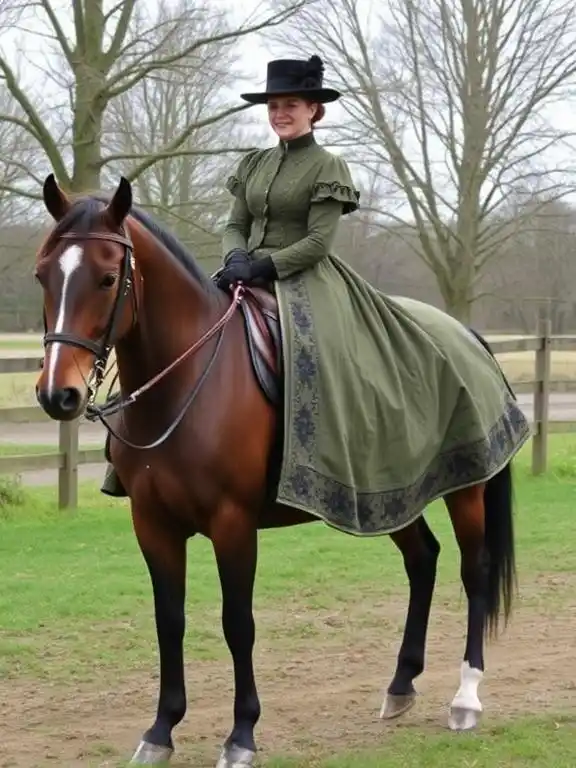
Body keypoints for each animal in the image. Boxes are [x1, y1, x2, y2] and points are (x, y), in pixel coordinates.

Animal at [35, 176, 520, 768]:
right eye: (42, 274)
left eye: (107, 278)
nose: (58, 394)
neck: (191, 381)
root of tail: (465, 333)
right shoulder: (153, 525)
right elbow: (169, 621)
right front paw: (160, 730)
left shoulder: (233, 524)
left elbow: (237, 624)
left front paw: (241, 734)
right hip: (390, 493)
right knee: (423, 559)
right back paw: (400, 685)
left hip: (465, 491)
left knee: (474, 572)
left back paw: (466, 697)